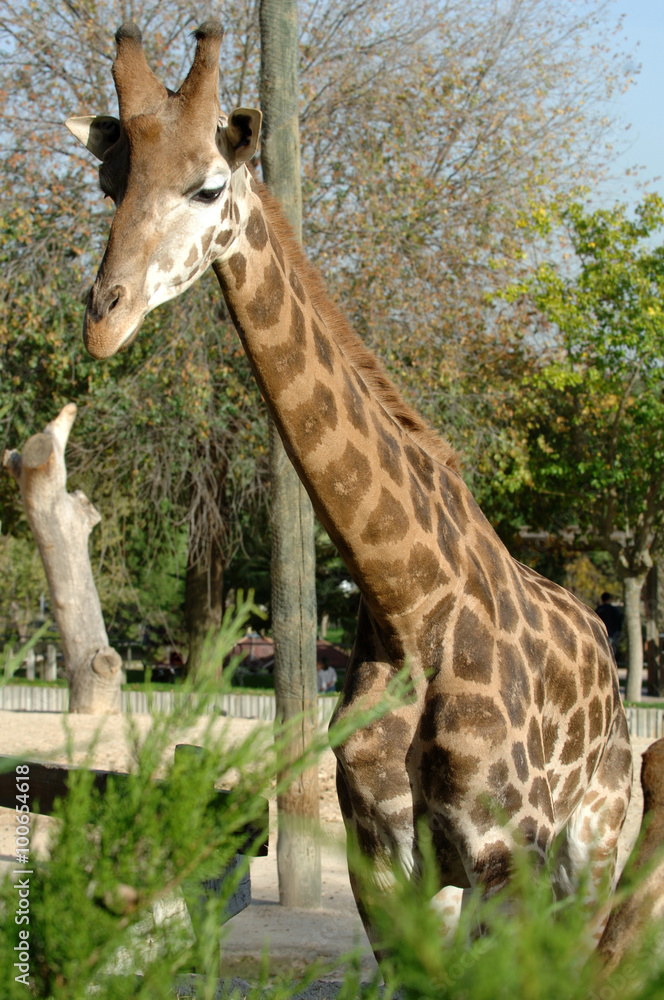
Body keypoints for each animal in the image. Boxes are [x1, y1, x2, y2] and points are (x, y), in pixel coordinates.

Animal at [66, 21, 633, 949]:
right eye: (112, 182)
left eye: (208, 185)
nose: (103, 319)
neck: (408, 603)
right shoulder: (382, 853)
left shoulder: (503, 859)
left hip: (594, 848)